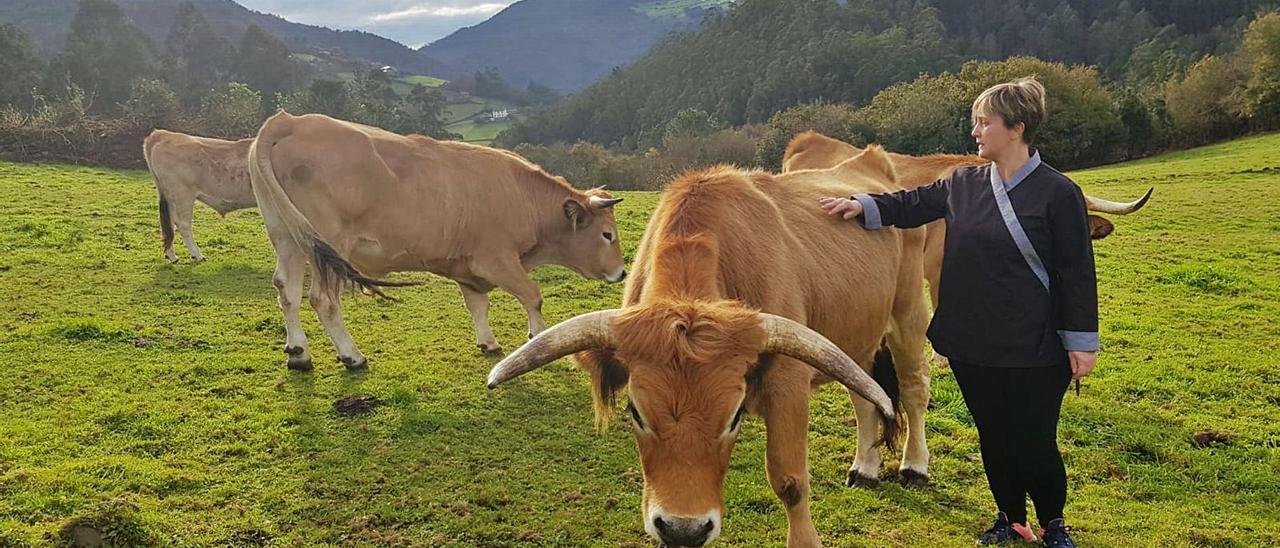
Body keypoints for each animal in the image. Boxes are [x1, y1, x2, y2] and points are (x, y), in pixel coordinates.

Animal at [142, 130, 254, 263]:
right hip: (183, 194)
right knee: (183, 224)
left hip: (170, 197)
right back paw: (197, 255)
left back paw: (172, 256)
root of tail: (162, 134)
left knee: (168, 223)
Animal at [247, 111, 627, 371]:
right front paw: (536, 339)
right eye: (607, 234)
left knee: (286, 290)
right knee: (323, 300)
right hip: (329, 246)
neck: (523, 196)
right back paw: (352, 356)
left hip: (288, 238)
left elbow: (478, 305)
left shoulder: (468, 268)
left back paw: (299, 353)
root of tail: (290, 121)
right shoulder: (497, 259)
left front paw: (488, 342)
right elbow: (533, 296)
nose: (622, 272)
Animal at [488, 146, 931, 548]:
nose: (684, 529)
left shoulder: (788, 382)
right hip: (854, 340)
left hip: (908, 316)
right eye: (636, 411)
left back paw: (915, 467)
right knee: (867, 395)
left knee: (912, 391)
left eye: (734, 416)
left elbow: (789, 481)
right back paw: (865, 467)